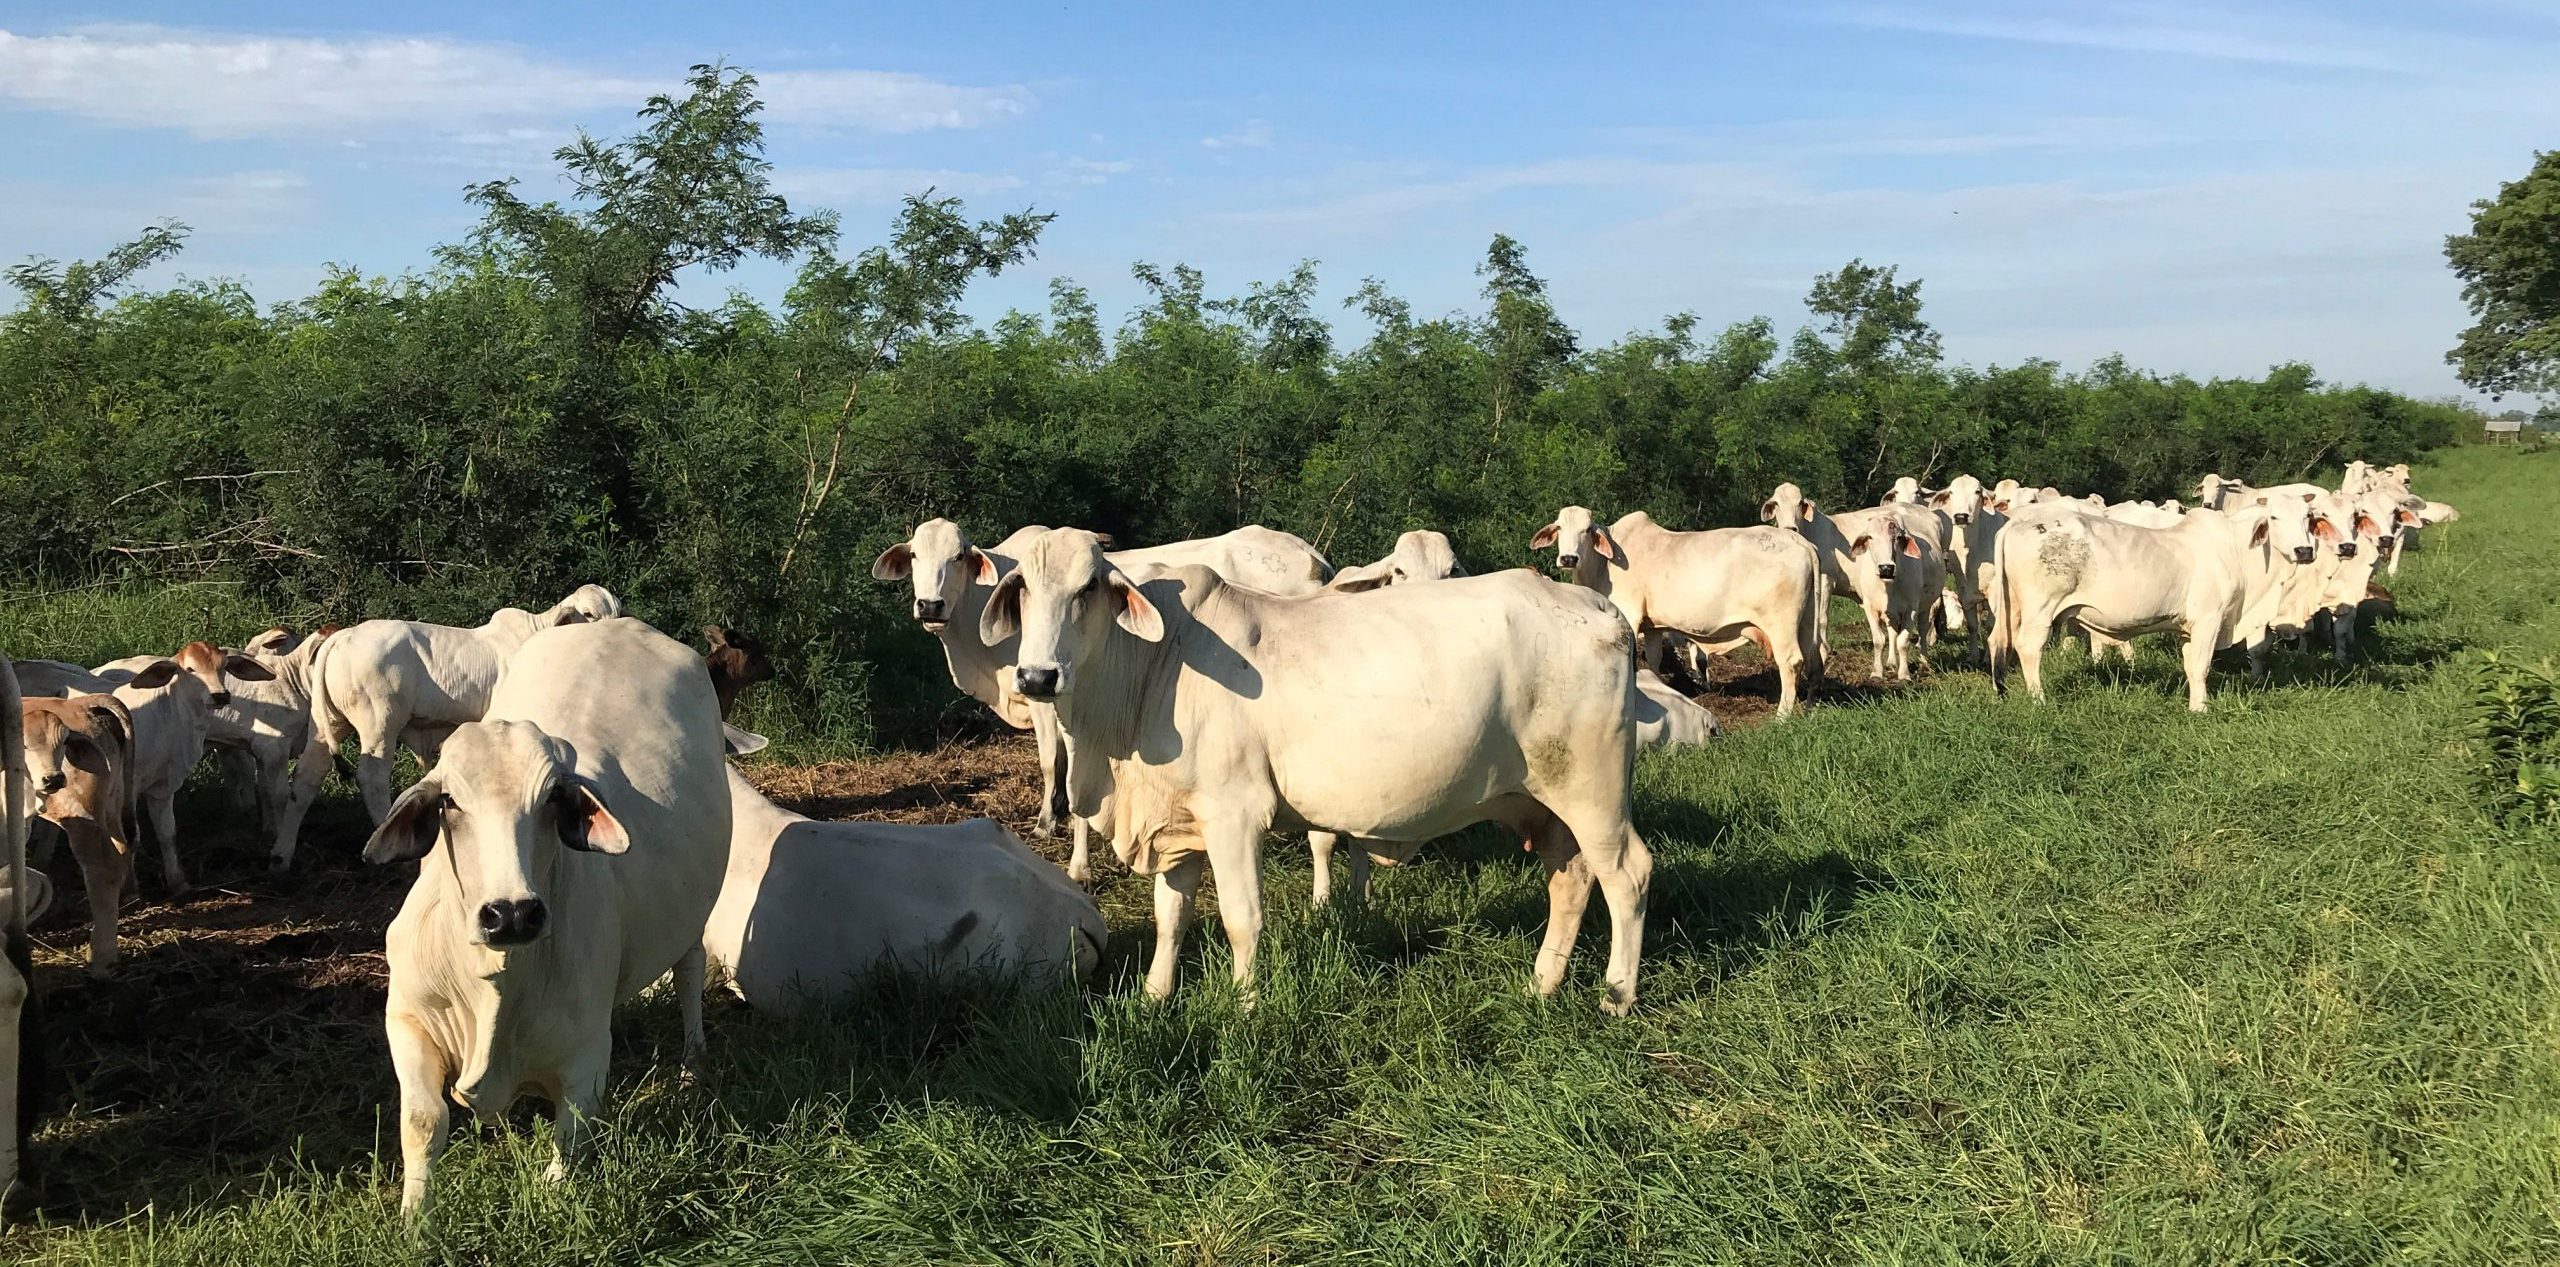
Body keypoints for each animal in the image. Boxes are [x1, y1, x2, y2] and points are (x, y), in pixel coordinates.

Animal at [281, 585, 622, 867]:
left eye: (617, 611)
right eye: (589, 614)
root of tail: (344, 636)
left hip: (327, 725)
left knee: (307, 777)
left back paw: (280, 856)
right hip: (379, 724)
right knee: (371, 778)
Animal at [368, 616, 731, 1222]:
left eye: (552, 800)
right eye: (449, 802)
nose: (511, 914)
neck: (495, 981)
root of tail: (623, 622)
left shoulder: (587, 1058)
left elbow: (566, 1150)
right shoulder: (409, 1018)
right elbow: (422, 1122)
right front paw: (416, 1220)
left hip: (693, 918)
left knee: (688, 976)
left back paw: (693, 1069)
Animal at [986, 530, 1654, 1013]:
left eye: (1088, 588)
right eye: (1022, 590)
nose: (1037, 677)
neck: (1150, 671)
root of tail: (1602, 609)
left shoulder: (1234, 816)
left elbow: (1242, 919)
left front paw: (1246, 1006)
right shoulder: (1179, 825)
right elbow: (1170, 918)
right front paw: (1155, 996)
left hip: (1592, 792)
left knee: (1628, 876)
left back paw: (1617, 996)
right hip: (1546, 803)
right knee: (1572, 879)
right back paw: (1542, 983)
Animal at [1532, 506, 1823, 717]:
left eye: (1587, 530)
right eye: (1559, 527)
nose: (1569, 559)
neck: (1604, 565)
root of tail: (1798, 541)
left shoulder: (1629, 615)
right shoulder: (1653, 627)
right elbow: (1653, 660)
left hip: (1781, 623)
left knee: (1791, 661)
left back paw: (1782, 717)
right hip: (1807, 620)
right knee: (1814, 658)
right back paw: (1809, 707)